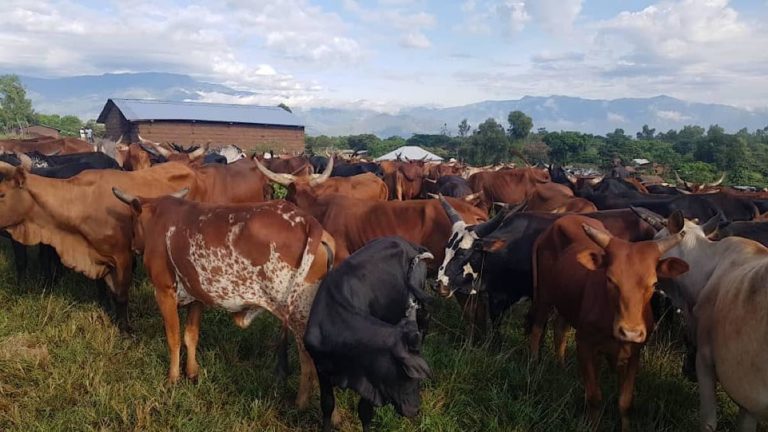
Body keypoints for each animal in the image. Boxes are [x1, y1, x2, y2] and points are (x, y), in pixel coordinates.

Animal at [112, 190, 335, 409]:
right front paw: (192, 373)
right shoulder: (197, 295)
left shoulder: (164, 292)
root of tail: (309, 223)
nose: (133, 245)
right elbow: (191, 336)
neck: (157, 219)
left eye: (133, 220)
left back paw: (301, 405)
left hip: (299, 316)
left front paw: (172, 379)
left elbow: (173, 339)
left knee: (308, 361)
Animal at [305, 236, 432, 432]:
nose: (415, 409)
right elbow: (327, 404)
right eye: (404, 371)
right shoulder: (321, 366)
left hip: (422, 304)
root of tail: (411, 244)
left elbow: (365, 412)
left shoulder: (371, 381)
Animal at [529, 214, 688, 431]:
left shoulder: (634, 353)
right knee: (537, 329)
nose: (630, 332)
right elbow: (594, 397)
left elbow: (625, 402)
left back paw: (560, 367)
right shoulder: (585, 345)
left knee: (559, 328)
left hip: (566, 300)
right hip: (544, 295)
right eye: (610, 279)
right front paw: (593, 426)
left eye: (654, 283)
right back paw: (533, 366)